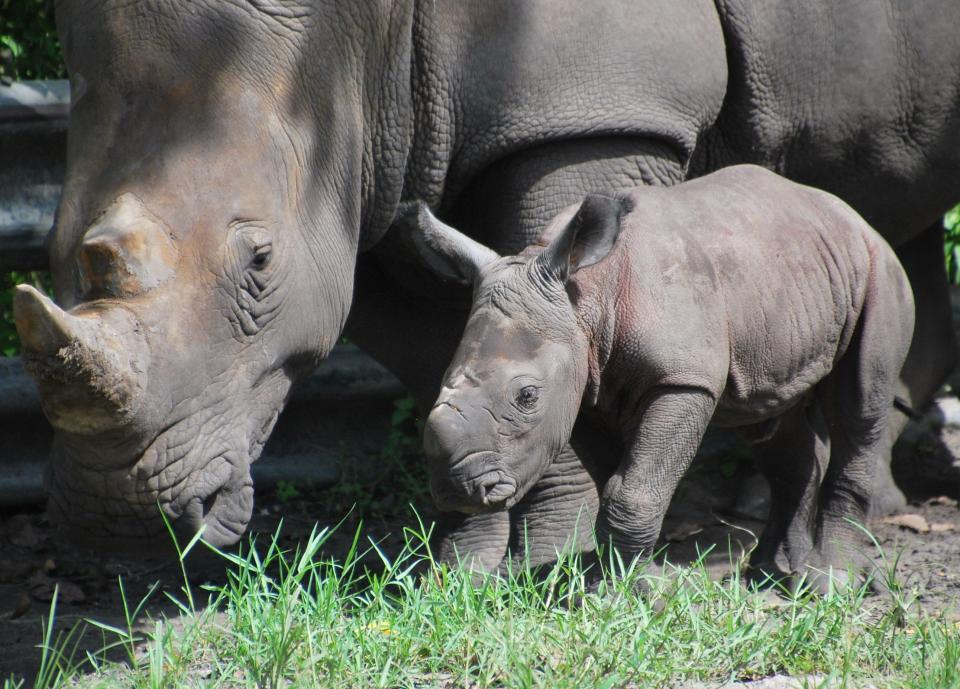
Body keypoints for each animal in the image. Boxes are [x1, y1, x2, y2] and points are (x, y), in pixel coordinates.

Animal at [400, 164, 916, 588]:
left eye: (526, 396)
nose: (460, 488)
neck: (586, 299)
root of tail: (851, 216)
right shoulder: (584, 390)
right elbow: (615, 484)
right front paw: (621, 585)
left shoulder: (683, 380)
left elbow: (635, 488)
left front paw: (626, 594)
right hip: (786, 286)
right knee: (770, 425)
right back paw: (768, 575)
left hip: (879, 270)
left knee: (859, 406)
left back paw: (831, 583)